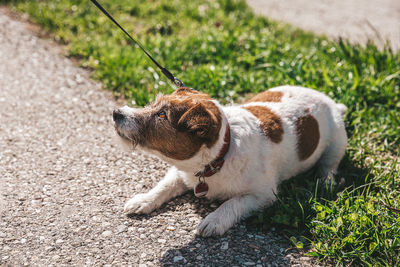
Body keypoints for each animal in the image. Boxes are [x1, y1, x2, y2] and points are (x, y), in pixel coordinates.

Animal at [113, 85, 346, 237]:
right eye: (153, 104)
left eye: (162, 115)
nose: (116, 113)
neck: (219, 156)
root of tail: (330, 101)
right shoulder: (180, 172)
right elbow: (164, 186)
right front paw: (144, 200)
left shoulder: (263, 195)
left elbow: (233, 202)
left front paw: (214, 220)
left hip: (338, 142)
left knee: (330, 165)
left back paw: (325, 182)